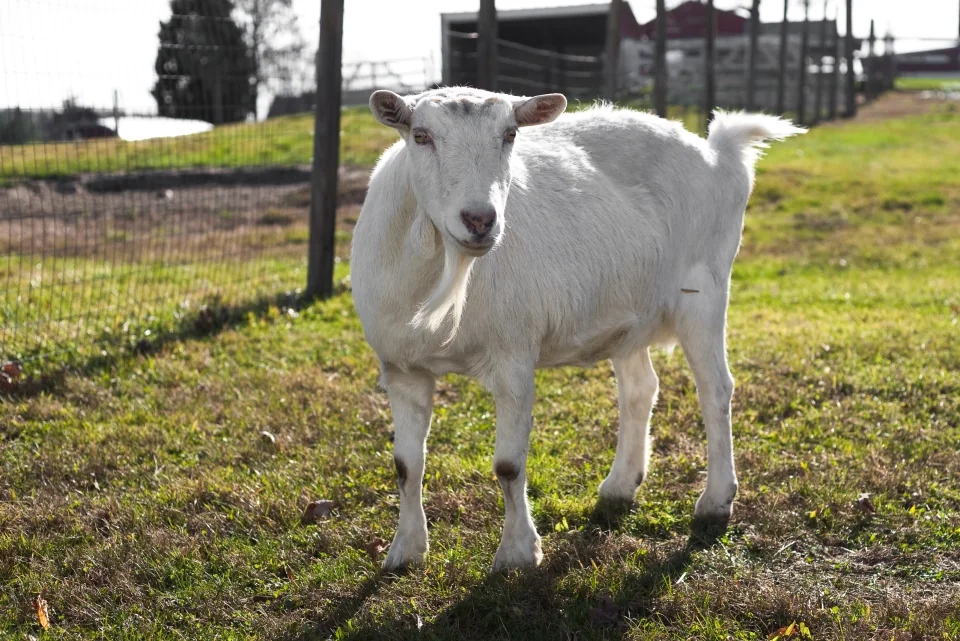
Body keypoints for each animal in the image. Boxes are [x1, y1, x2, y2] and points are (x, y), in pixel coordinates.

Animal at [350, 87, 804, 571]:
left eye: (510, 135)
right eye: (420, 135)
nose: (479, 220)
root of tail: (718, 153)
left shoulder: (513, 356)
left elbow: (508, 465)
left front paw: (517, 554)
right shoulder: (401, 367)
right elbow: (405, 464)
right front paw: (406, 550)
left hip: (705, 287)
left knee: (715, 388)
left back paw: (716, 501)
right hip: (631, 310)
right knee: (641, 387)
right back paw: (620, 486)